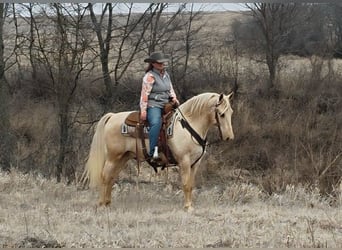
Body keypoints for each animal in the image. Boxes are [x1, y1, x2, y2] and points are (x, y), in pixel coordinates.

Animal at [83, 92, 234, 211]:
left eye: (231, 112)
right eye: (221, 114)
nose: (229, 137)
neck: (188, 126)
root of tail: (112, 116)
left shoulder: (195, 163)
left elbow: (191, 185)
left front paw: (190, 205)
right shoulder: (184, 161)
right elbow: (185, 184)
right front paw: (187, 207)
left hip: (123, 158)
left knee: (111, 177)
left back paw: (108, 203)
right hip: (113, 157)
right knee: (105, 176)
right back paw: (102, 205)